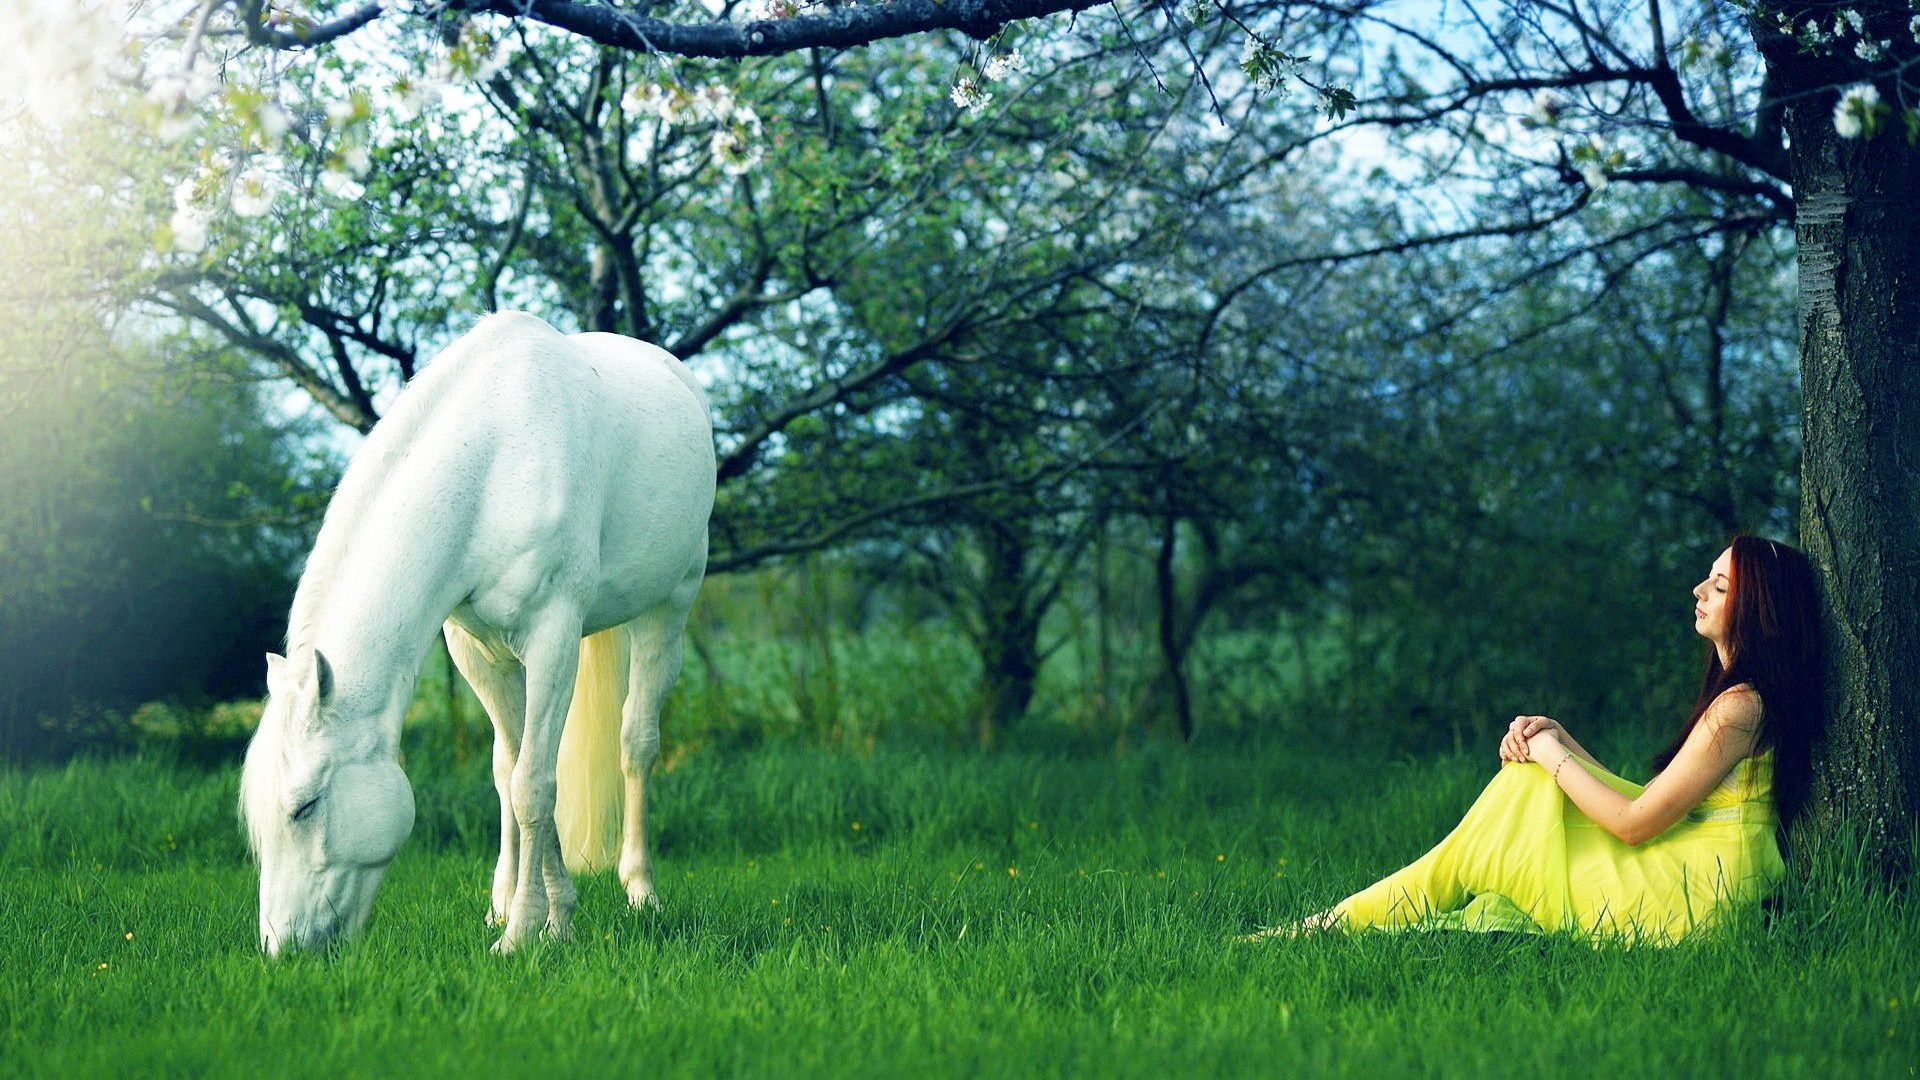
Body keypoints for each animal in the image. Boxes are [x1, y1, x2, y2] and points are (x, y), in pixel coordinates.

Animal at [239, 311, 715, 954]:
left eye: (305, 807)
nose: (281, 949)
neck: (492, 465)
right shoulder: (476, 651)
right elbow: (511, 774)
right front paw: (550, 917)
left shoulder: (552, 638)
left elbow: (534, 786)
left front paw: (523, 934)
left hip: (669, 607)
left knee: (636, 742)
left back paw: (641, 891)